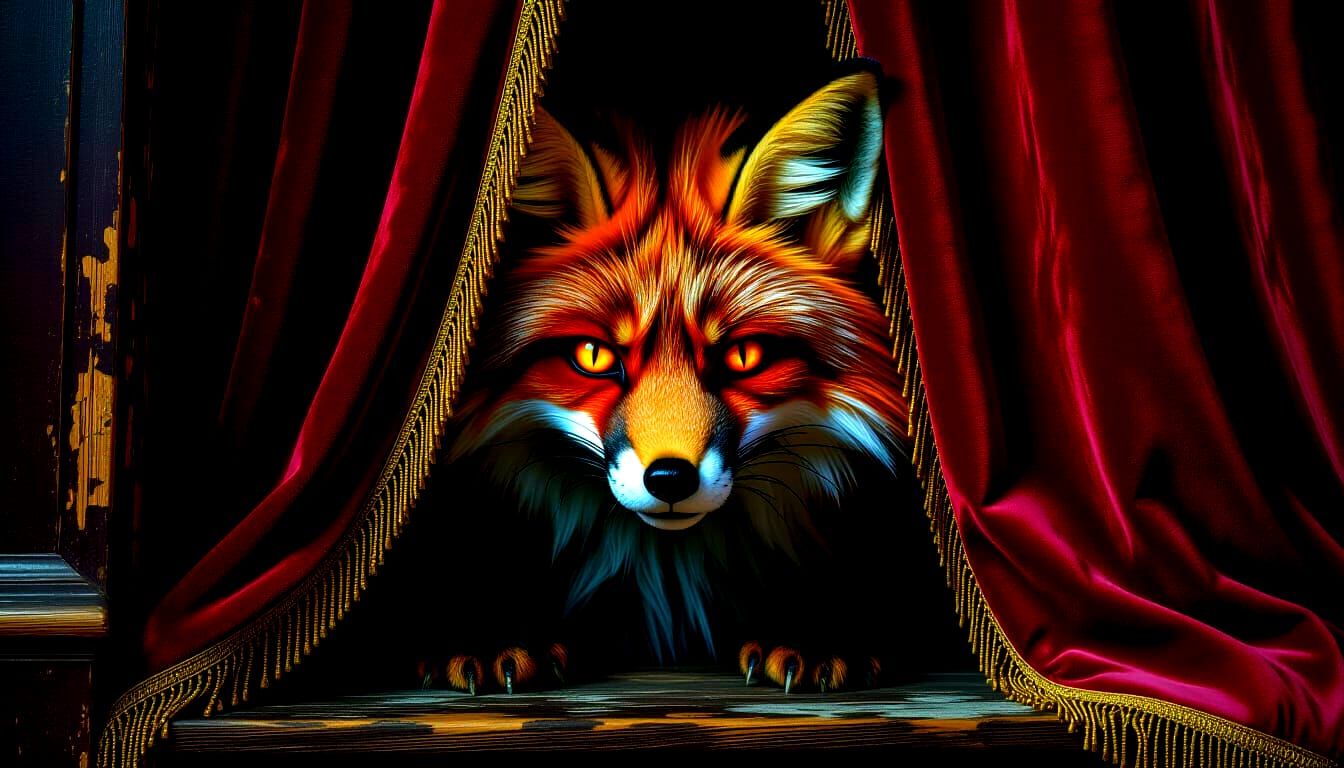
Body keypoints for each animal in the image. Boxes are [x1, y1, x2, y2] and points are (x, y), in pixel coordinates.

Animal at [430, 69, 915, 694]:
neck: (665, 566)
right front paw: (497, 633)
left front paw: (813, 632)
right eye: (593, 355)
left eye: (743, 356)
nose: (669, 478)